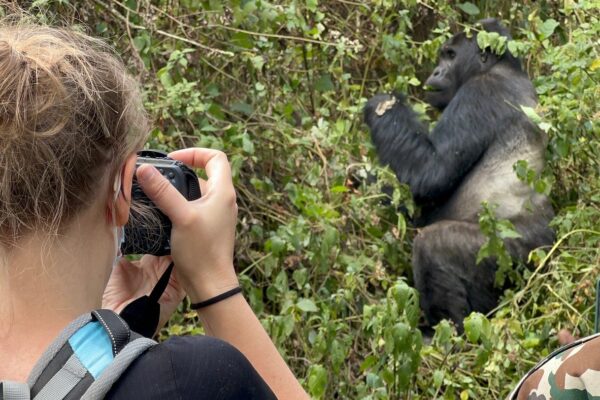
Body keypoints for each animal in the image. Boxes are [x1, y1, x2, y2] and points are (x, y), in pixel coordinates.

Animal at [360, 18, 552, 330]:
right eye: (441, 57)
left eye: (450, 55)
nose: (435, 71)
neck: (502, 68)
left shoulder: (479, 93)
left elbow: (430, 174)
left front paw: (383, 103)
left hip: (522, 254)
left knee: (432, 243)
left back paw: (445, 331)